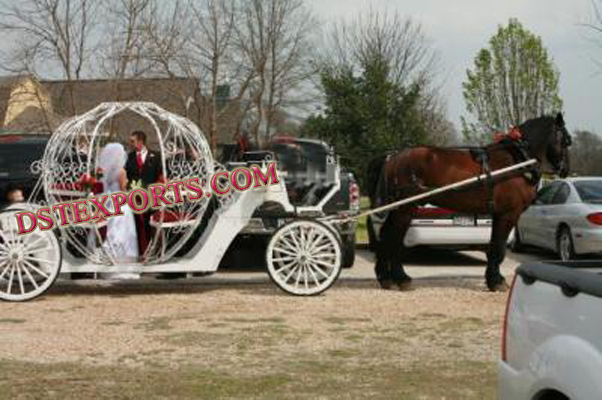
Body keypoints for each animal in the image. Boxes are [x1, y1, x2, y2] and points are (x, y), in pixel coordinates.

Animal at [364, 112, 568, 290]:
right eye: (566, 140)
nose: (565, 170)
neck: (517, 161)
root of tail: (393, 157)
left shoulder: (497, 214)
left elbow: (493, 247)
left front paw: (492, 279)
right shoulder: (509, 214)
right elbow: (499, 248)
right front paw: (496, 281)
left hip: (398, 208)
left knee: (385, 236)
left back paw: (385, 277)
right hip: (406, 208)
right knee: (394, 239)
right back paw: (401, 278)